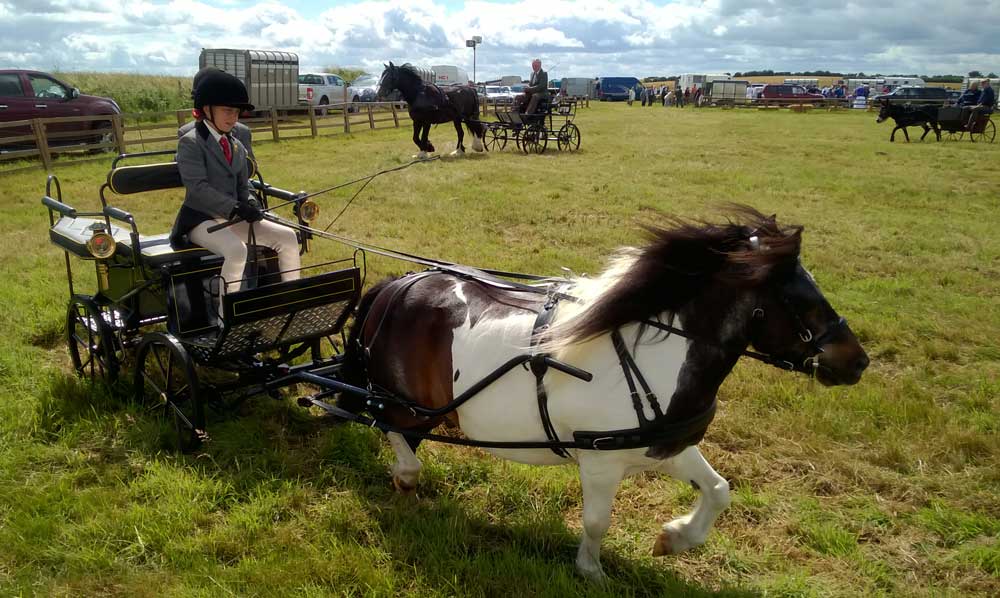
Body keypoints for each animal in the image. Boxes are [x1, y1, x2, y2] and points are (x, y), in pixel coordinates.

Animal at [340, 210, 864, 580]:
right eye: (802, 300)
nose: (858, 361)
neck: (659, 351)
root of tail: (396, 284)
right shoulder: (600, 461)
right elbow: (596, 521)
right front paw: (591, 570)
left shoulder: (666, 444)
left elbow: (718, 490)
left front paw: (674, 538)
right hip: (401, 401)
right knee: (387, 425)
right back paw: (407, 476)